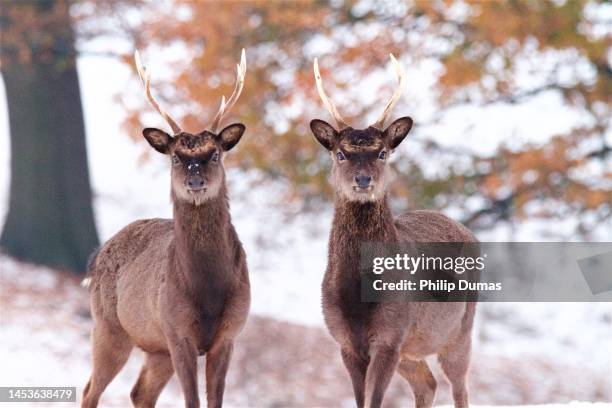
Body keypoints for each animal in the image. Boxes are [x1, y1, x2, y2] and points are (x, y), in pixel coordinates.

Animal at [82, 48, 250, 408]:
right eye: (175, 157)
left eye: (215, 154)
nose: (195, 181)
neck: (208, 290)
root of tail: (97, 255)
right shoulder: (177, 331)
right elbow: (192, 401)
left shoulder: (229, 333)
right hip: (109, 326)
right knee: (90, 391)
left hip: (155, 348)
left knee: (139, 392)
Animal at [310, 55, 478, 408]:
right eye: (340, 153)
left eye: (382, 152)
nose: (363, 180)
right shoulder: (345, 341)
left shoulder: (391, 334)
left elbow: (374, 401)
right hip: (411, 350)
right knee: (427, 383)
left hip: (460, 330)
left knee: (459, 386)